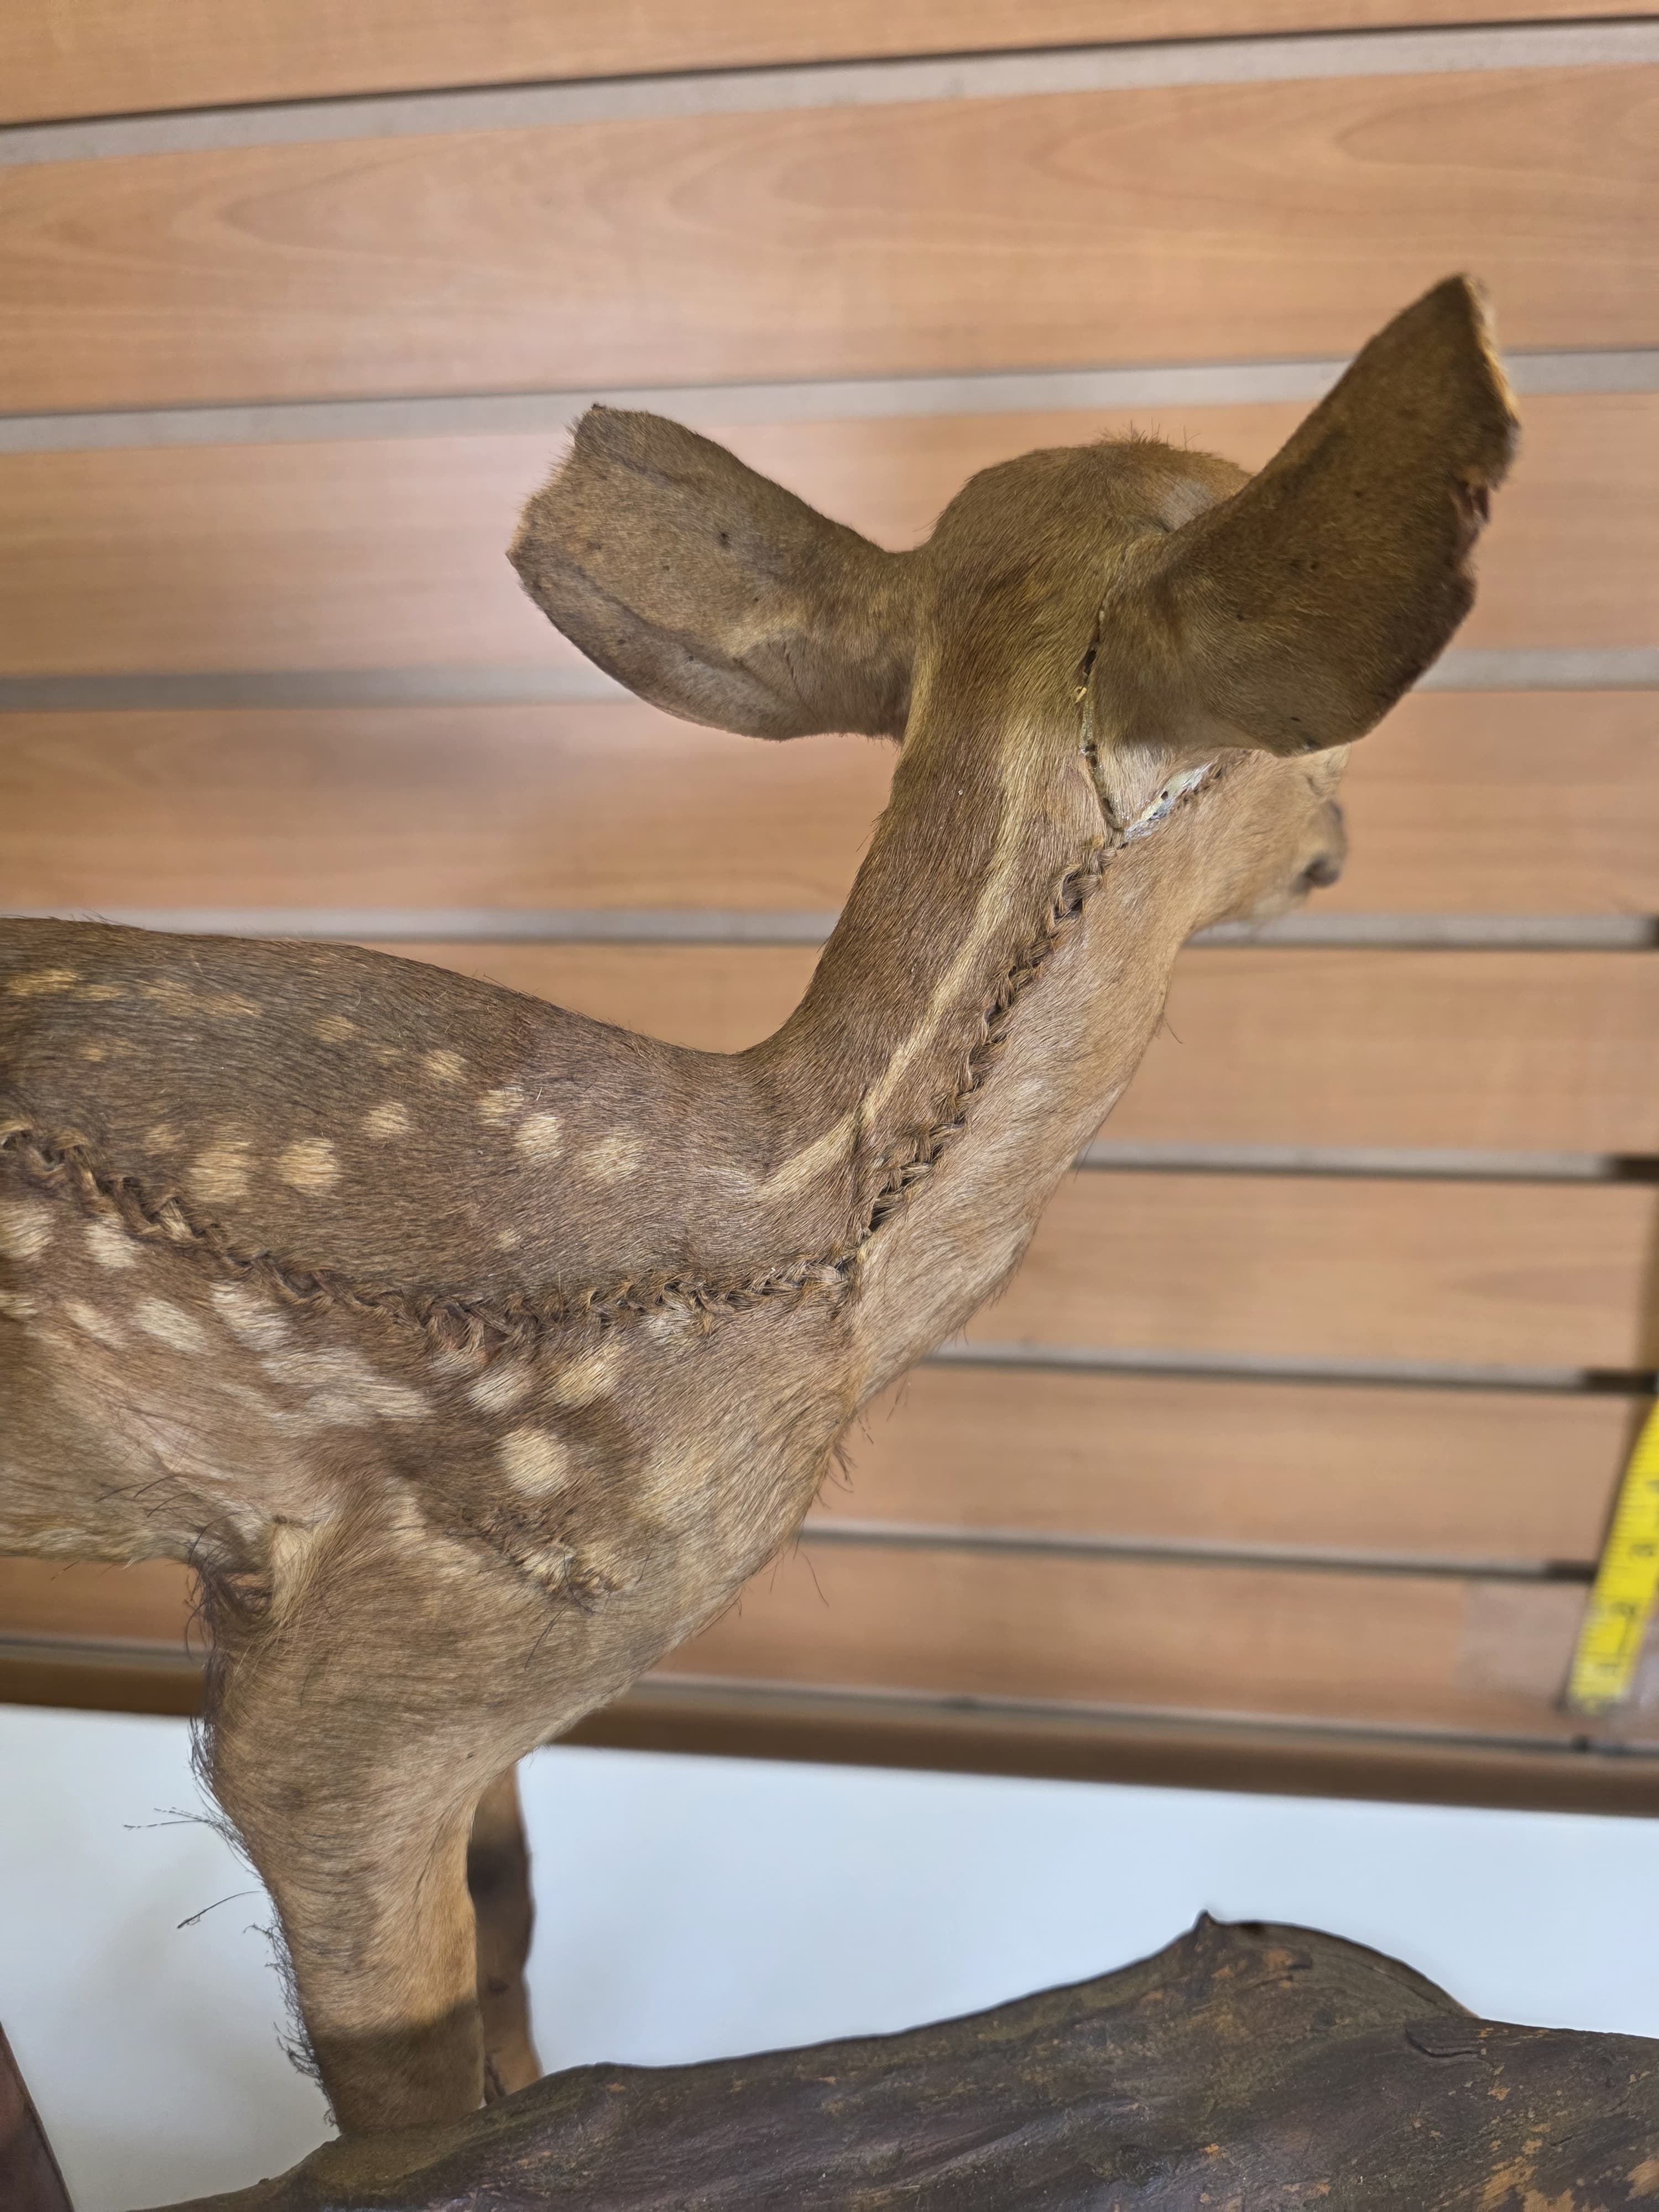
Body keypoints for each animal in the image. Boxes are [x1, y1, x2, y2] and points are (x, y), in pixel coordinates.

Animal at [0, 277, 1514, 2138]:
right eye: (1312, 740)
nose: (1341, 843)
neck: (790, 1238)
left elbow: (514, 1939)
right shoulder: (381, 1683)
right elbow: (416, 2094)